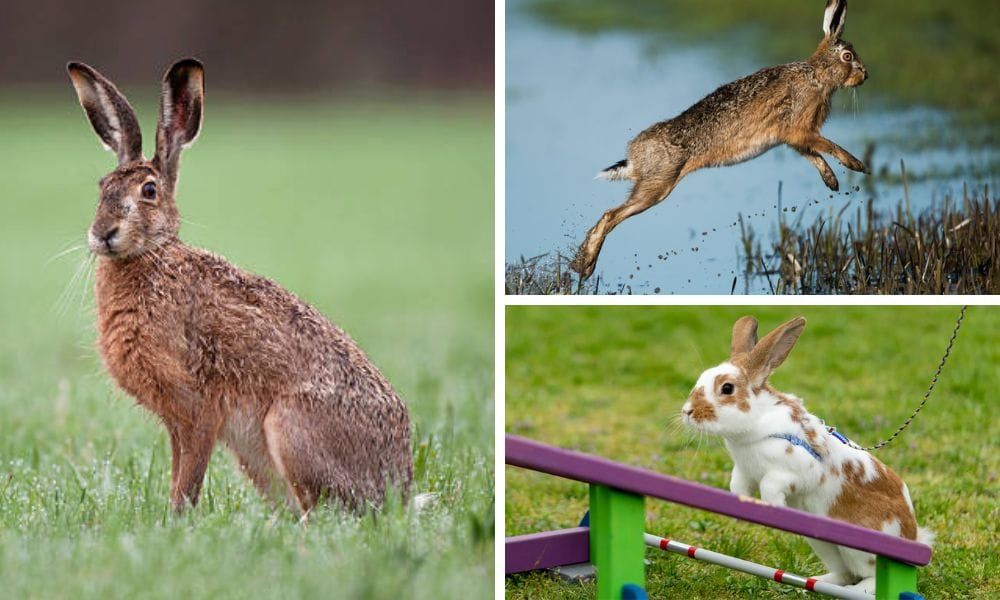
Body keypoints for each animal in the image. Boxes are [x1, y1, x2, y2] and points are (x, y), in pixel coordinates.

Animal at [67, 58, 412, 515]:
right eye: (102, 187)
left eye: (149, 190)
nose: (103, 234)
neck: (154, 257)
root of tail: (400, 492)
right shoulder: (177, 421)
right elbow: (178, 474)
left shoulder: (197, 409)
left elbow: (187, 480)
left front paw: (176, 521)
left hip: (288, 429)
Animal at [571, 0, 869, 279]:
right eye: (847, 56)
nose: (865, 75)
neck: (818, 75)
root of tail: (634, 155)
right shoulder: (801, 129)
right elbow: (828, 146)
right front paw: (857, 165)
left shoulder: (793, 138)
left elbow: (814, 155)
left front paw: (832, 182)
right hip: (658, 185)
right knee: (611, 215)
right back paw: (584, 266)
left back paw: (581, 263)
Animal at [680, 316, 932, 594]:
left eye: (727, 388)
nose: (687, 411)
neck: (755, 425)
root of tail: (912, 535)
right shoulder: (744, 471)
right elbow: (737, 486)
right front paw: (742, 506)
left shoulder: (795, 472)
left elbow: (770, 485)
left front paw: (774, 508)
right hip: (823, 544)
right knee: (844, 573)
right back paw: (817, 582)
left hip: (858, 550)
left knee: (869, 575)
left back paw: (857, 591)